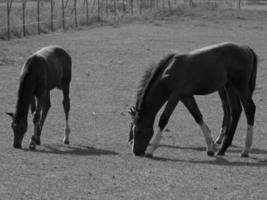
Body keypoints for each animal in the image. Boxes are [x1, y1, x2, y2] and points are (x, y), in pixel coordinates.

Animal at [129, 42, 258, 158]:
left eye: (138, 131)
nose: (135, 152)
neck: (168, 71)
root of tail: (247, 49)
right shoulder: (185, 96)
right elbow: (197, 116)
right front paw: (210, 147)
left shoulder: (175, 96)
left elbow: (163, 119)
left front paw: (151, 150)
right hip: (229, 87)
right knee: (235, 111)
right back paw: (223, 148)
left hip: (240, 87)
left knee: (249, 108)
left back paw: (246, 149)